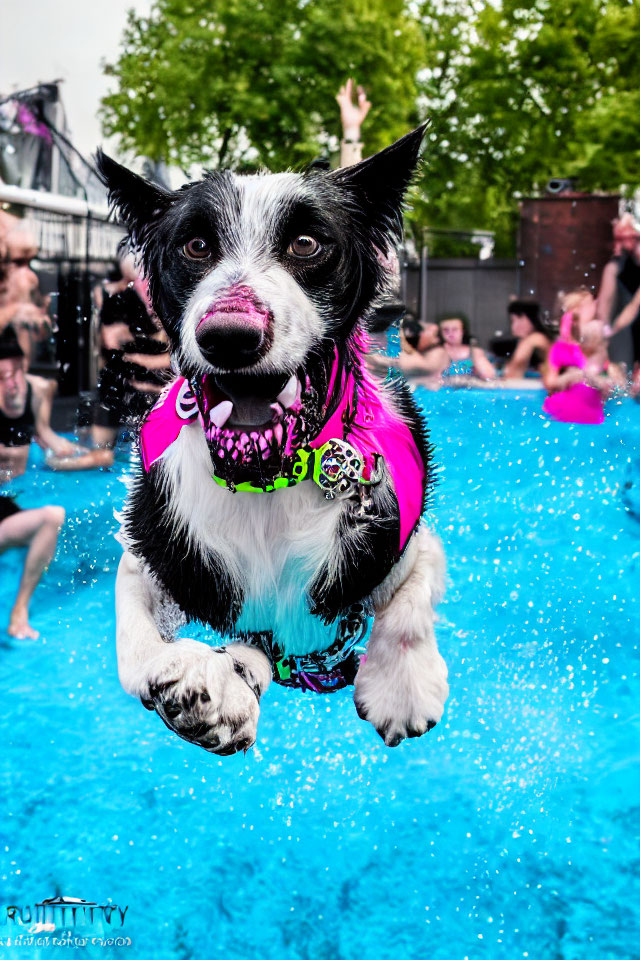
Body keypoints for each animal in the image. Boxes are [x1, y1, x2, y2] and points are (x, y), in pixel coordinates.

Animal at [99, 127, 450, 756]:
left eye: (307, 243)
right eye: (195, 246)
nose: (229, 335)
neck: (263, 479)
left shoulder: (405, 535)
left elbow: (410, 601)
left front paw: (403, 688)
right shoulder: (152, 544)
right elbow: (137, 637)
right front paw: (210, 679)